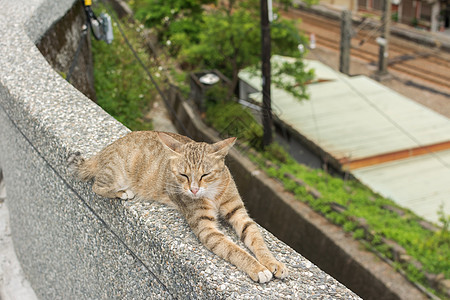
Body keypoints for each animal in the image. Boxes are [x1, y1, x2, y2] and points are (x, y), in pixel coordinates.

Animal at [70, 131, 288, 284]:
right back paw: (122, 192)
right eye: (183, 175)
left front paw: (272, 262)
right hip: (114, 174)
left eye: (205, 174)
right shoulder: (205, 228)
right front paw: (257, 268)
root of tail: (103, 151)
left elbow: (256, 239)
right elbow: (234, 250)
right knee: (97, 185)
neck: (213, 193)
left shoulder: (239, 213)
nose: (193, 190)